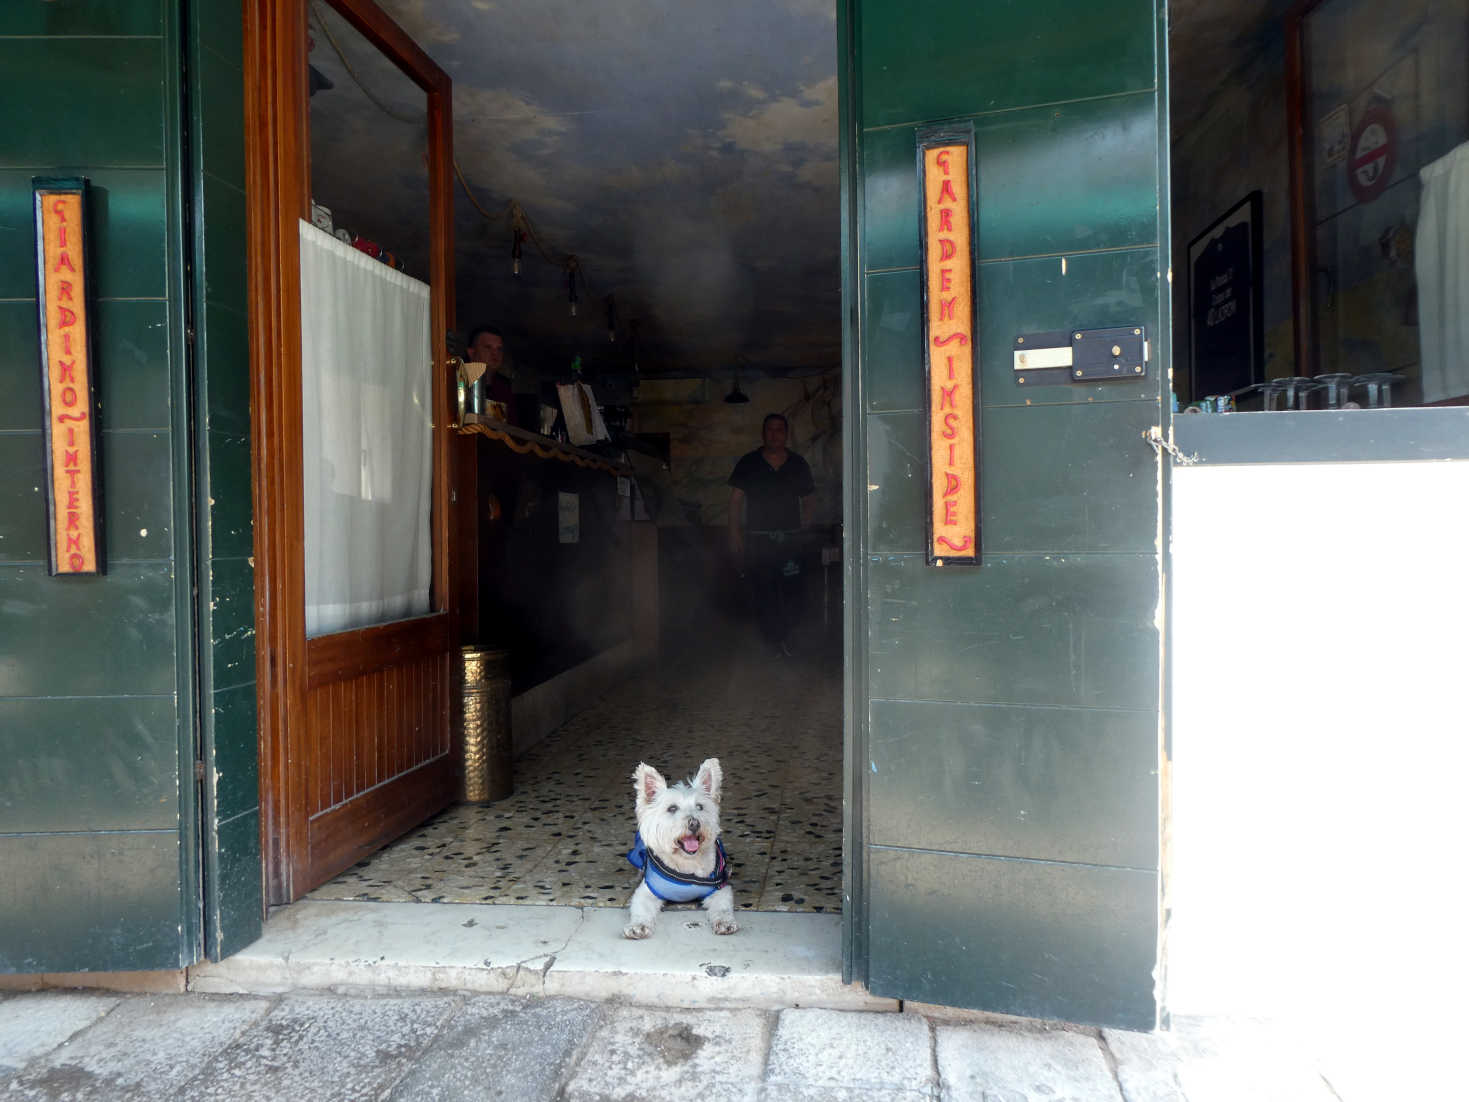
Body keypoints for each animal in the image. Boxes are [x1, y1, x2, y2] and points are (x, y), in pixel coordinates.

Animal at [622, 758, 740, 940]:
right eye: (672, 808)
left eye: (700, 807)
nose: (694, 823)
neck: (686, 862)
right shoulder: (647, 892)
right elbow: (641, 907)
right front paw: (638, 926)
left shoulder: (720, 889)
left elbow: (723, 907)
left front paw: (725, 923)